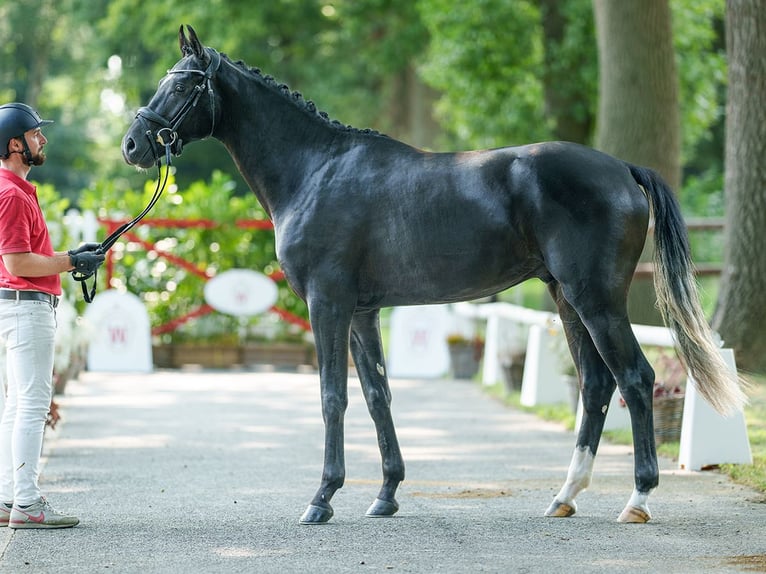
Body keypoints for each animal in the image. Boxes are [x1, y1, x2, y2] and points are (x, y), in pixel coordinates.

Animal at [123, 27, 748, 528]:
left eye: (182, 86)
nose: (133, 145)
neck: (315, 170)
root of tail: (622, 168)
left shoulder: (327, 304)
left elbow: (332, 396)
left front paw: (322, 499)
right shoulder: (362, 311)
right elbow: (377, 395)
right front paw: (385, 495)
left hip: (597, 301)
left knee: (635, 379)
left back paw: (637, 500)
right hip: (566, 299)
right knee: (595, 386)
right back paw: (564, 497)